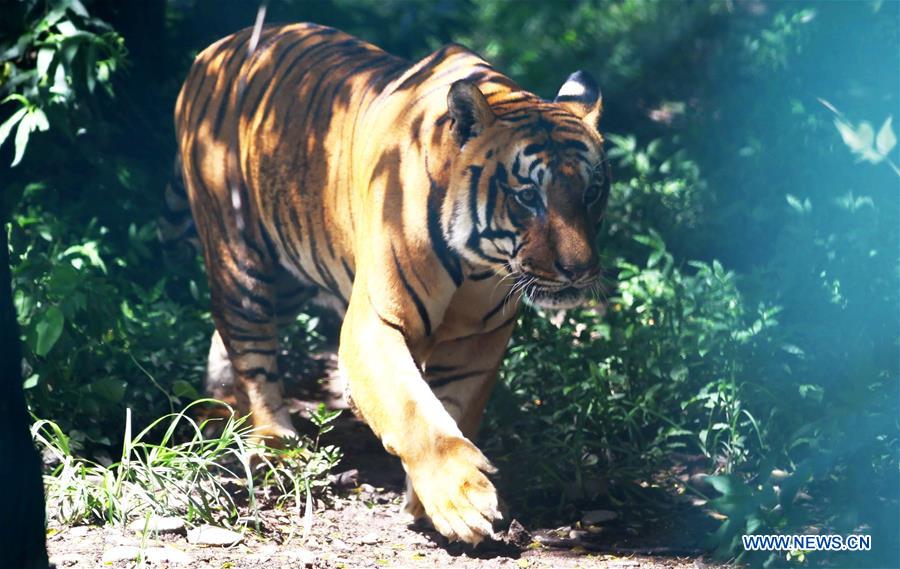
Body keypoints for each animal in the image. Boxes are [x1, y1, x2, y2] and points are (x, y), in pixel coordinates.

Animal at [171, 22, 611, 544]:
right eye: (527, 197)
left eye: (593, 192)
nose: (579, 269)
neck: (478, 264)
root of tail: (216, 48)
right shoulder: (376, 323)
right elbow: (414, 411)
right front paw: (462, 498)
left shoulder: (477, 340)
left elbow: (454, 409)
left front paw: (429, 502)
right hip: (240, 256)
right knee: (250, 348)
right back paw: (273, 440)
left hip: (291, 269)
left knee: (229, 341)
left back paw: (220, 412)